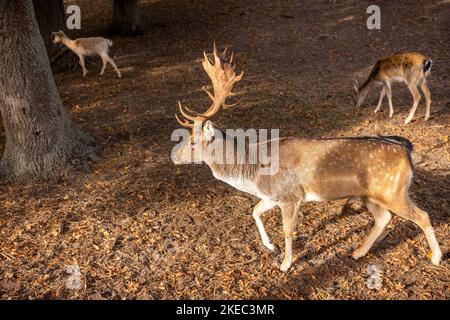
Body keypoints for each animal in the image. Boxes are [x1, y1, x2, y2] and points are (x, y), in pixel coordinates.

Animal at [172, 46, 442, 272]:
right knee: (384, 219)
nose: (173, 154)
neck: (253, 171)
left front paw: (286, 264)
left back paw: (436, 257)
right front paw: (271, 247)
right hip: (372, 195)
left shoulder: (290, 196)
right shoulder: (272, 196)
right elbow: (255, 212)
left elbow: (288, 230)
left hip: (393, 191)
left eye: (193, 141)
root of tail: (407, 152)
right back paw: (357, 253)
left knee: (423, 216)